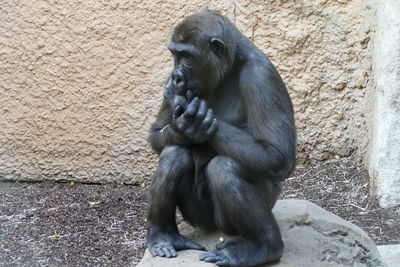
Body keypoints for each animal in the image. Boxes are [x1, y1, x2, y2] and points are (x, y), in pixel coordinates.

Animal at [145, 9, 296, 267]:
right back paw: (164, 235)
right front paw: (183, 123)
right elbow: (156, 134)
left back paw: (263, 247)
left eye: (186, 55)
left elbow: (277, 155)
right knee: (174, 154)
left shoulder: (261, 75)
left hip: (228, 222)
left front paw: (194, 117)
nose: (177, 77)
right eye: (175, 55)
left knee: (226, 168)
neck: (231, 64)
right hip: (198, 218)